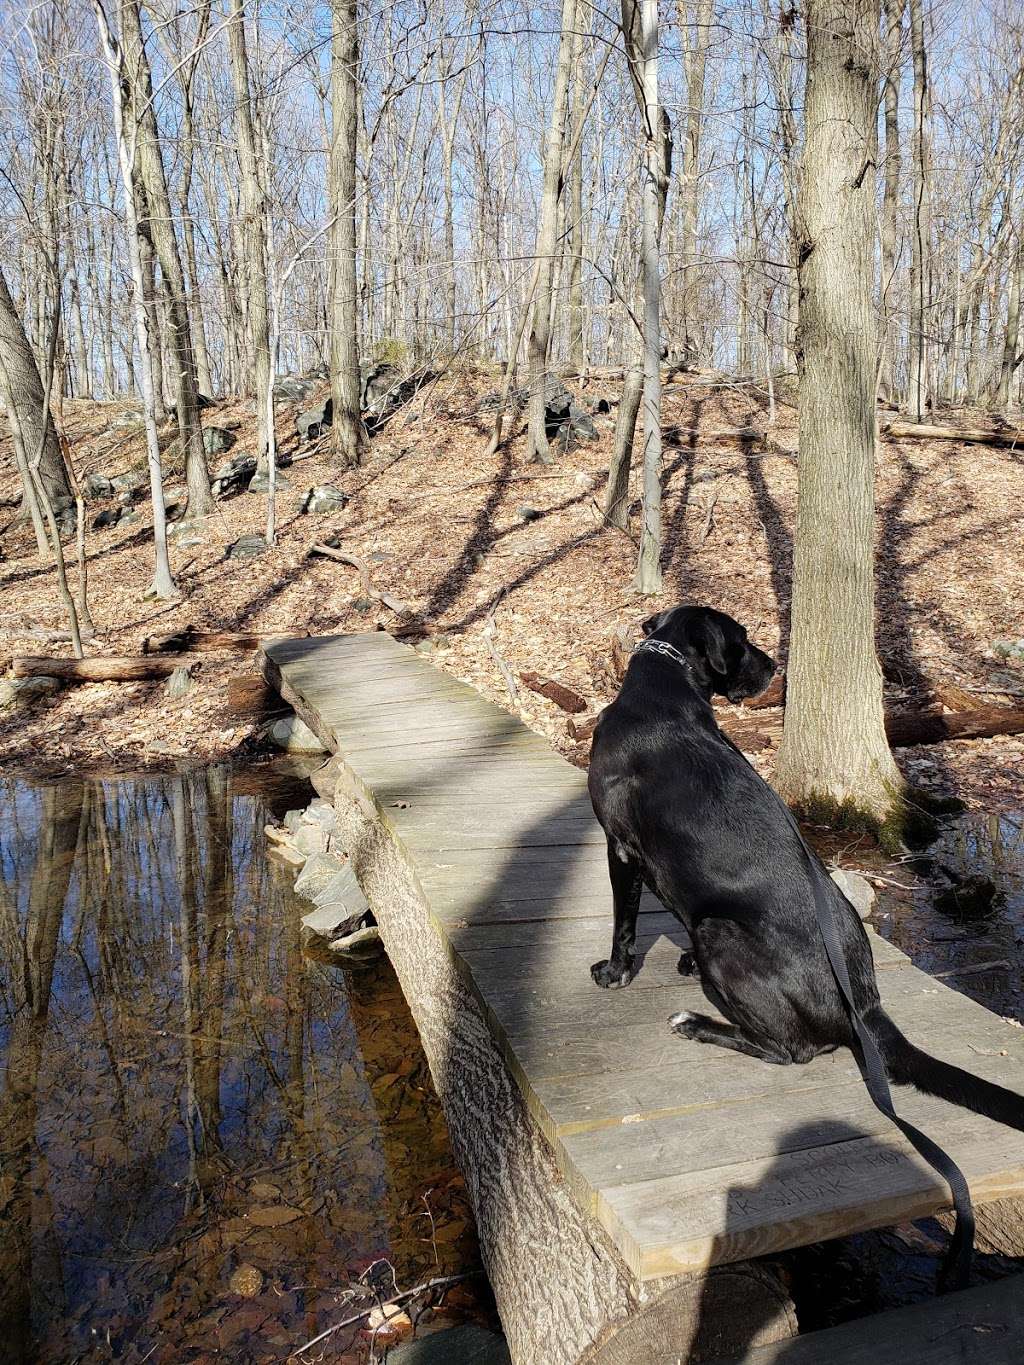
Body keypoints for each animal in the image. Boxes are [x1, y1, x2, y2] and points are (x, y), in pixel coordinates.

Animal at [589, 606, 1024, 1119]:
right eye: (741, 639)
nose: (774, 665)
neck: (665, 687)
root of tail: (865, 1005)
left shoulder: (619, 847)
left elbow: (624, 925)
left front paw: (614, 974)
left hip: (717, 930)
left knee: (791, 1050)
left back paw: (696, 1023)